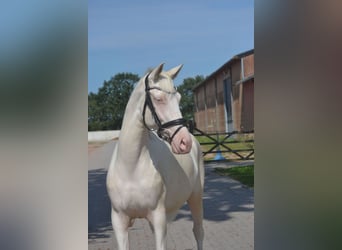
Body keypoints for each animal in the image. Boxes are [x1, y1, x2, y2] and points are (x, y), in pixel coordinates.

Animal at [106, 63, 203, 249]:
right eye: (158, 99)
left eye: (179, 98)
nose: (184, 142)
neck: (131, 168)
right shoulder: (119, 221)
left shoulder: (158, 218)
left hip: (196, 197)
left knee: (198, 231)